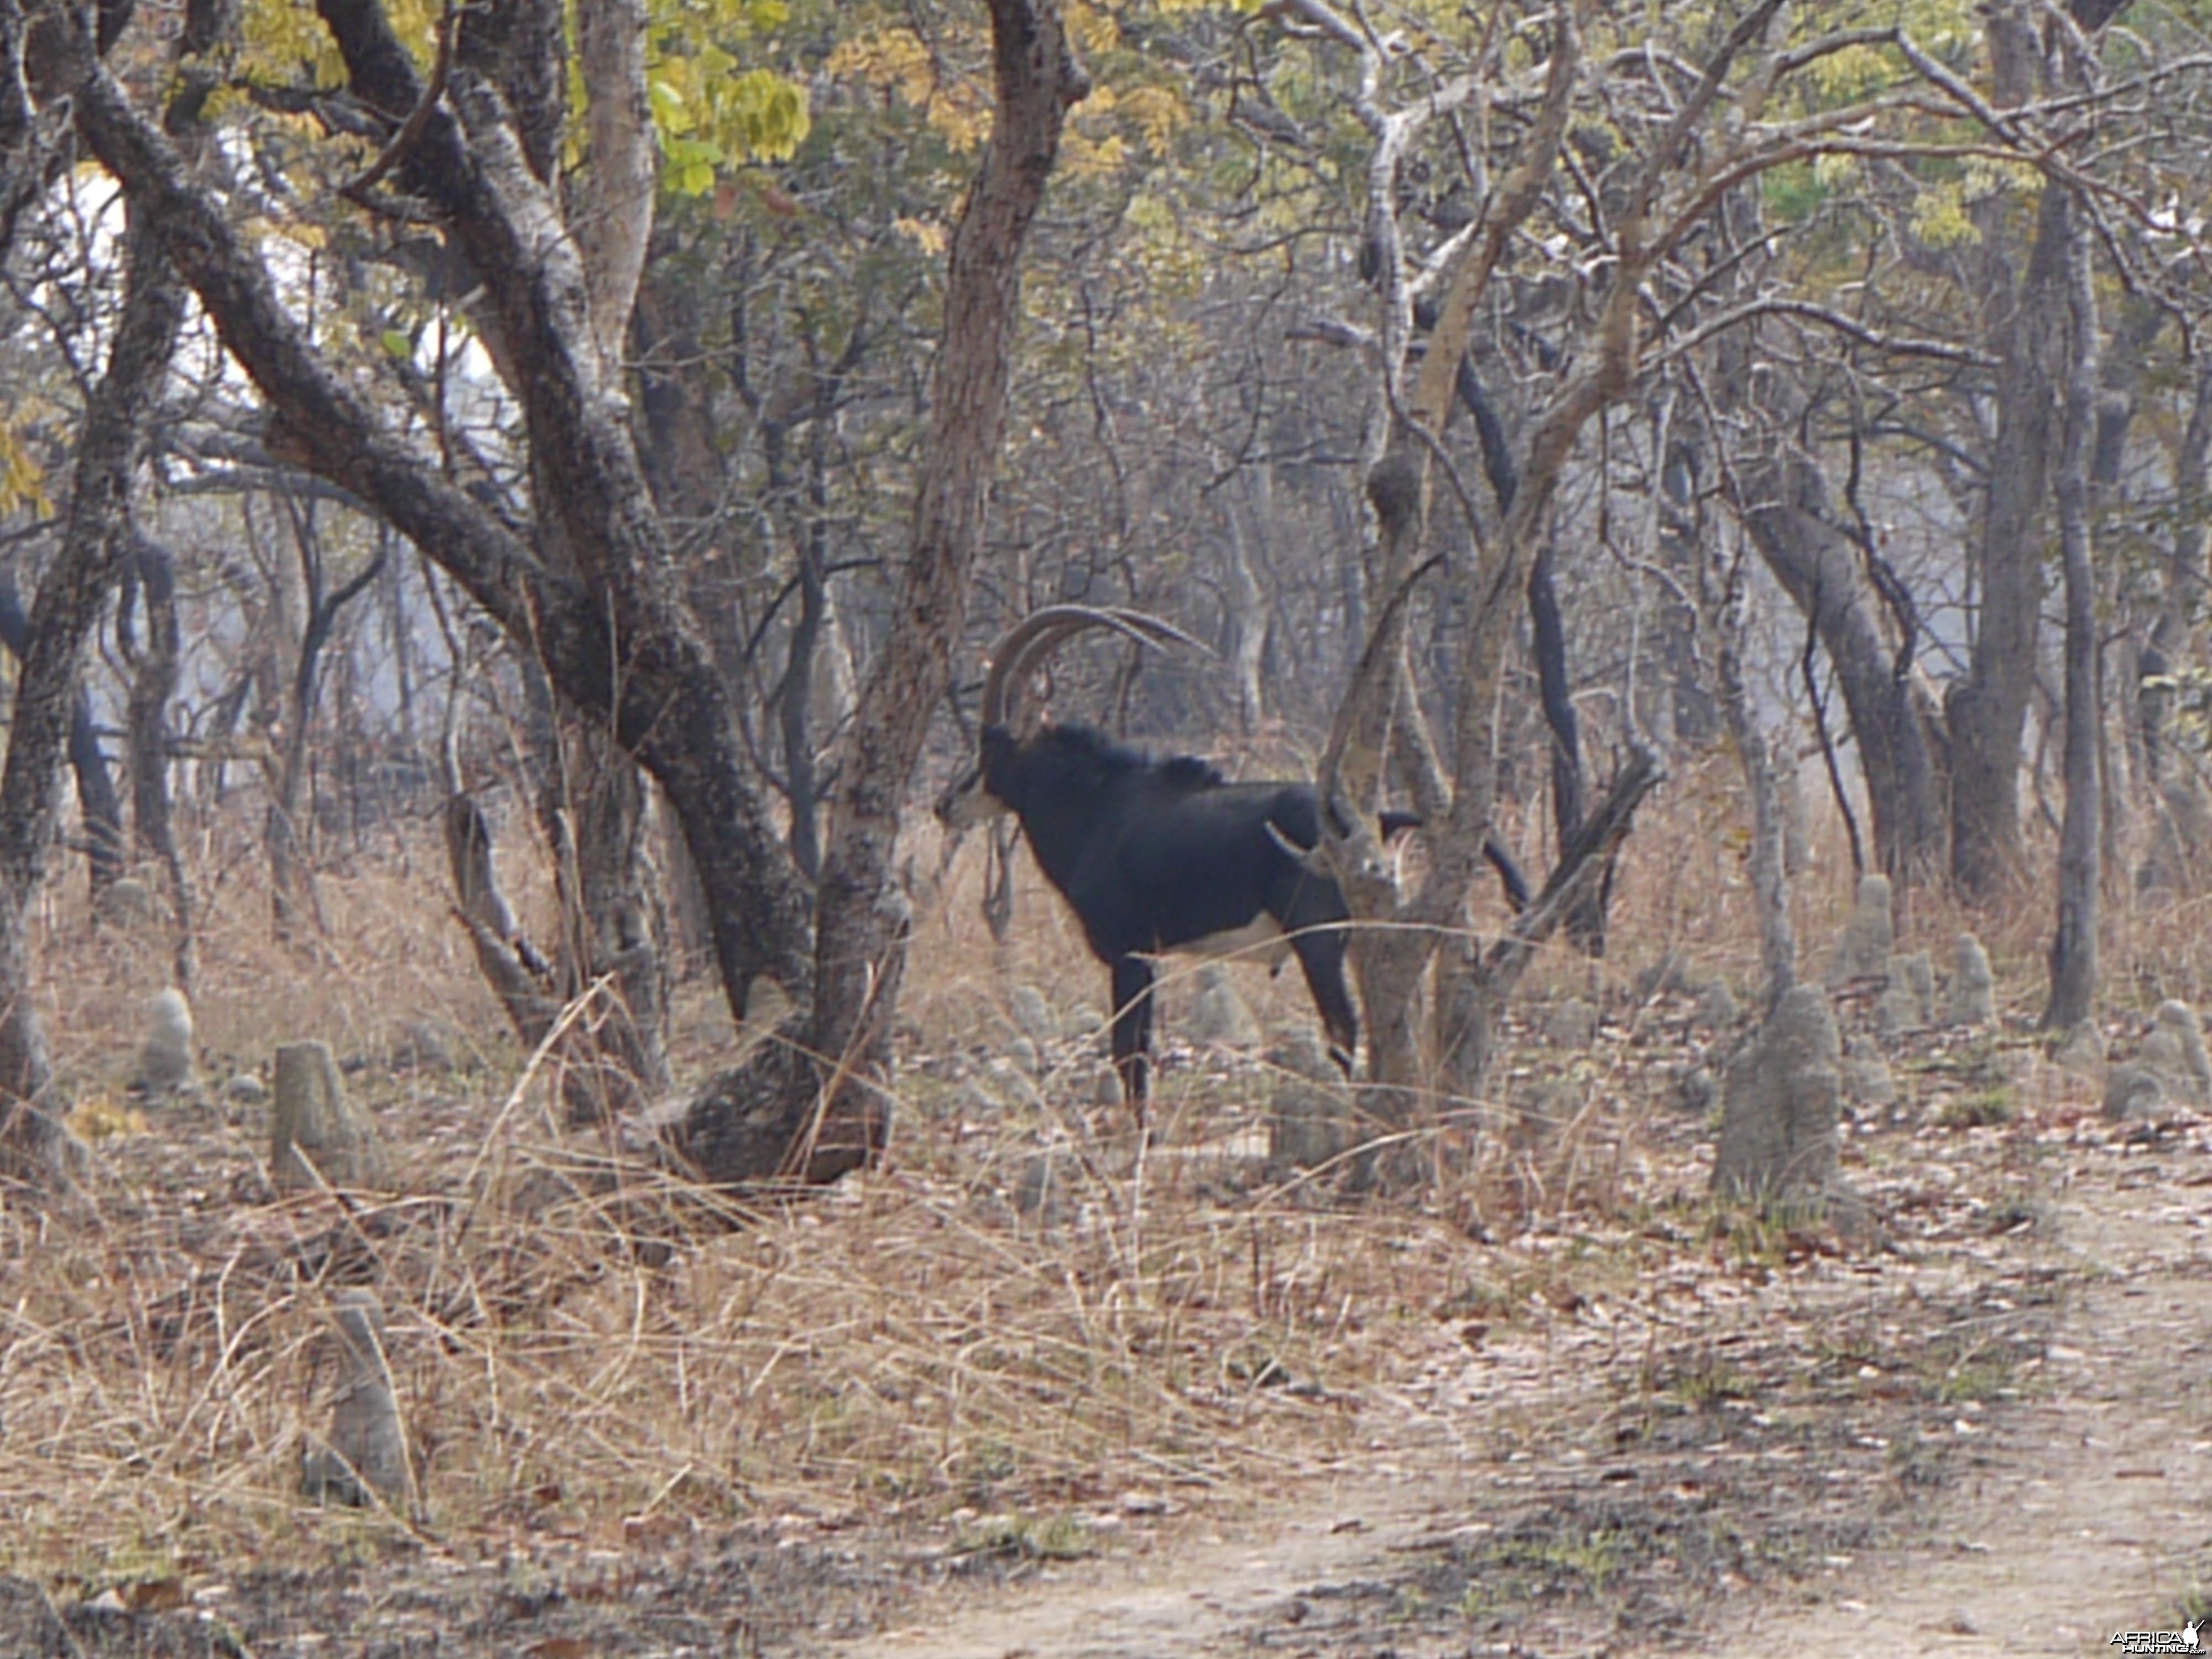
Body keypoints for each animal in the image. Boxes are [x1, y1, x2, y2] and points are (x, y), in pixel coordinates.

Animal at [933, 611, 1522, 1133]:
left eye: (989, 745)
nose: (945, 803)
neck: (1097, 804)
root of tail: (1372, 819)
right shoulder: (1148, 956)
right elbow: (1137, 1051)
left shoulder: (1129, 952)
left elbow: (1129, 1053)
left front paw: (1138, 1139)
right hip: (1365, 936)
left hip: (1318, 941)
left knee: (1343, 1029)